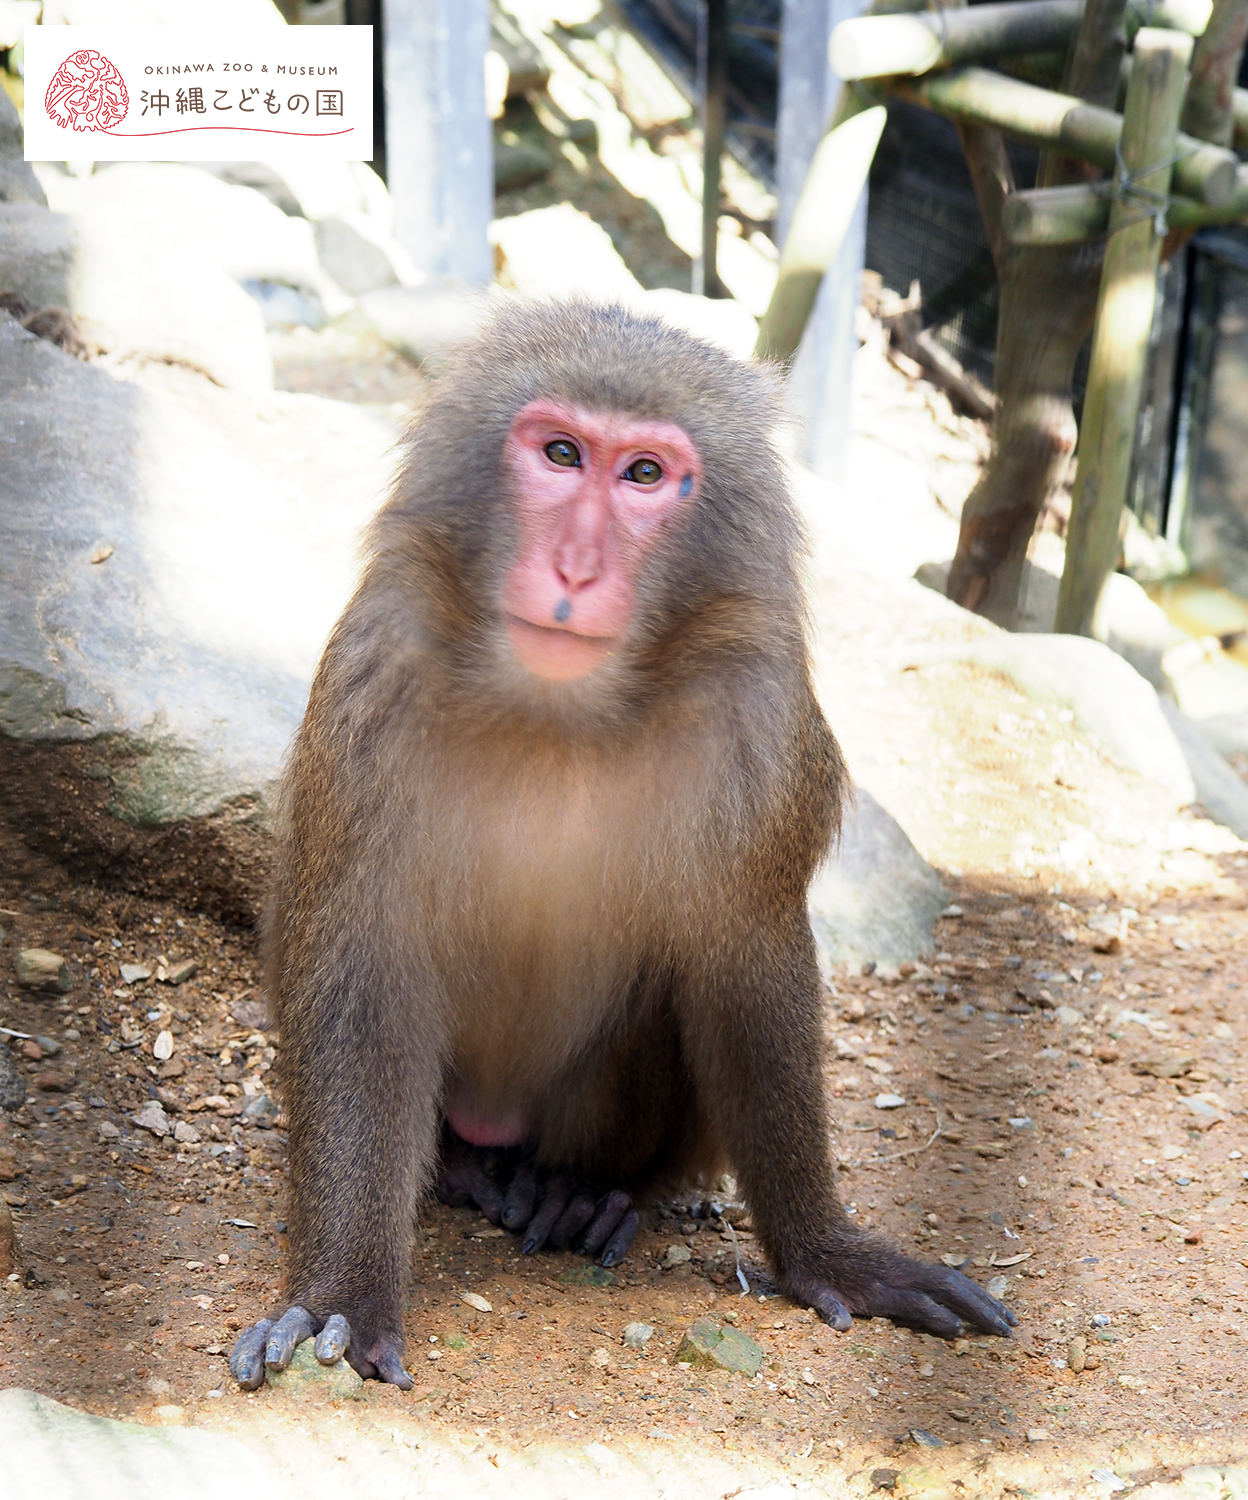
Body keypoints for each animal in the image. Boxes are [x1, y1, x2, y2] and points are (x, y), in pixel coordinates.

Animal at [231, 304, 1014, 1392]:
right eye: (561, 453)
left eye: (644, 473)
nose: (574, 570)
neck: (564, 712)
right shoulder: (374, 674)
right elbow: (360, 966)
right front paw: (343, 1292)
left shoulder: (758, 721)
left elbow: (747, 965)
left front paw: (828, 1252)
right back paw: (476, 1171)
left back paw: (581, 1190)